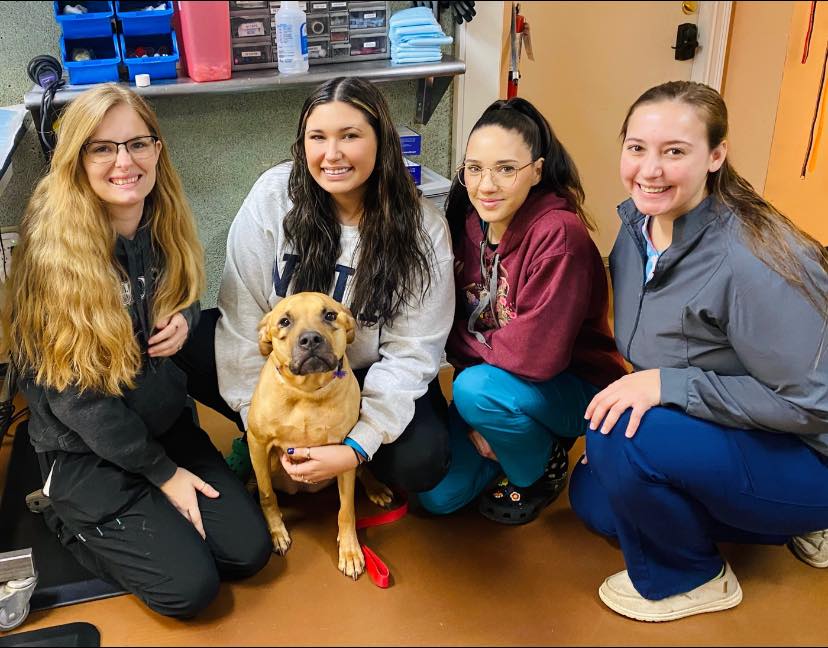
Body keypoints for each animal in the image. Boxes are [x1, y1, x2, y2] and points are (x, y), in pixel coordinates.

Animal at [247, 292, 390, 576]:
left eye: (330, 315)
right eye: (284, 321)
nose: (311, 339)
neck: (307, 393)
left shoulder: (344, 454)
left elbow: (346, 510)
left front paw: (350, 550)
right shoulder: (257, 443)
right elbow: (267, 495)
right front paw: (276, 531)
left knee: (363, 469)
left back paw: (376, 487)